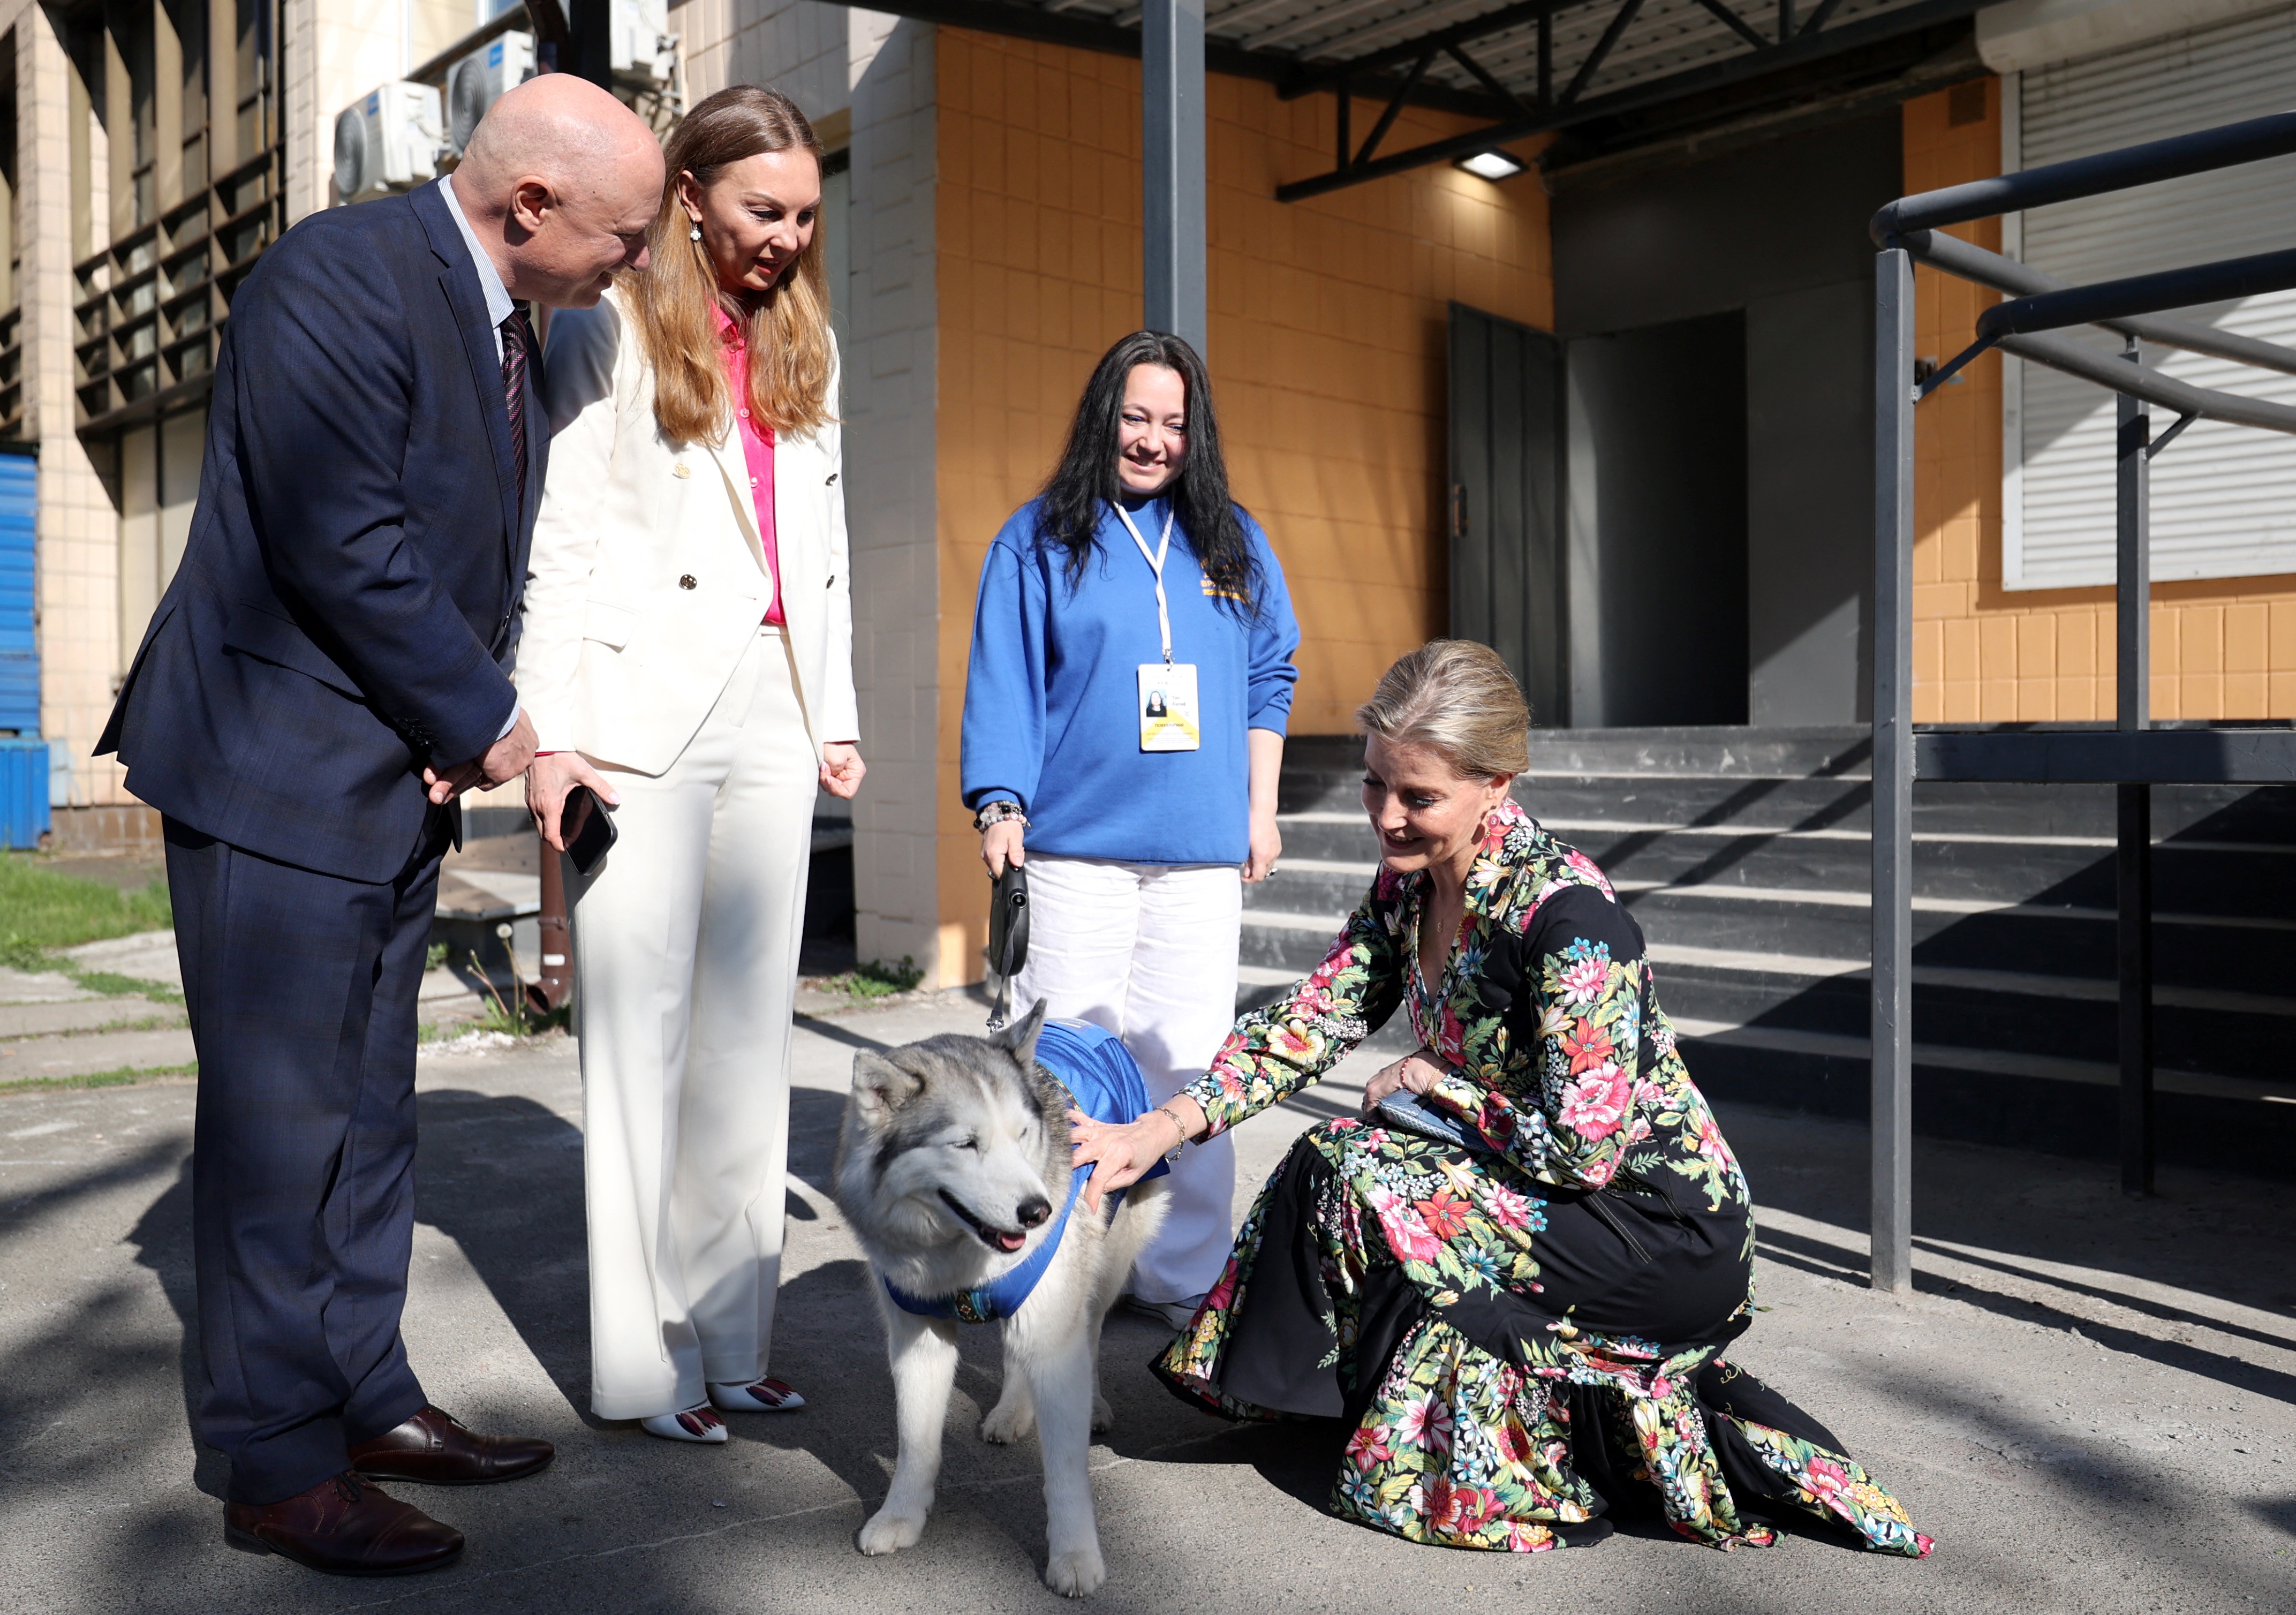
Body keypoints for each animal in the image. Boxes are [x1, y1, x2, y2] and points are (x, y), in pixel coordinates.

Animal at [831, 1006, 1166, 1598]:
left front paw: (1075, 1555)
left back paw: (1093, 1404)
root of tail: (1085, 1023)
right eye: (965, 1144)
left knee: (1090, 1331)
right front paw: (901, 1516)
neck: (957, 1254)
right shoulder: (919, 1338)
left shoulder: (1055, 1337)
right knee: (1016, 1354)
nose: (1039, 1210)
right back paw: (1012, 1411)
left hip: (1105, 1260)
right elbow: (915, 1440)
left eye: (1022, 1135)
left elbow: (1065, 1471)